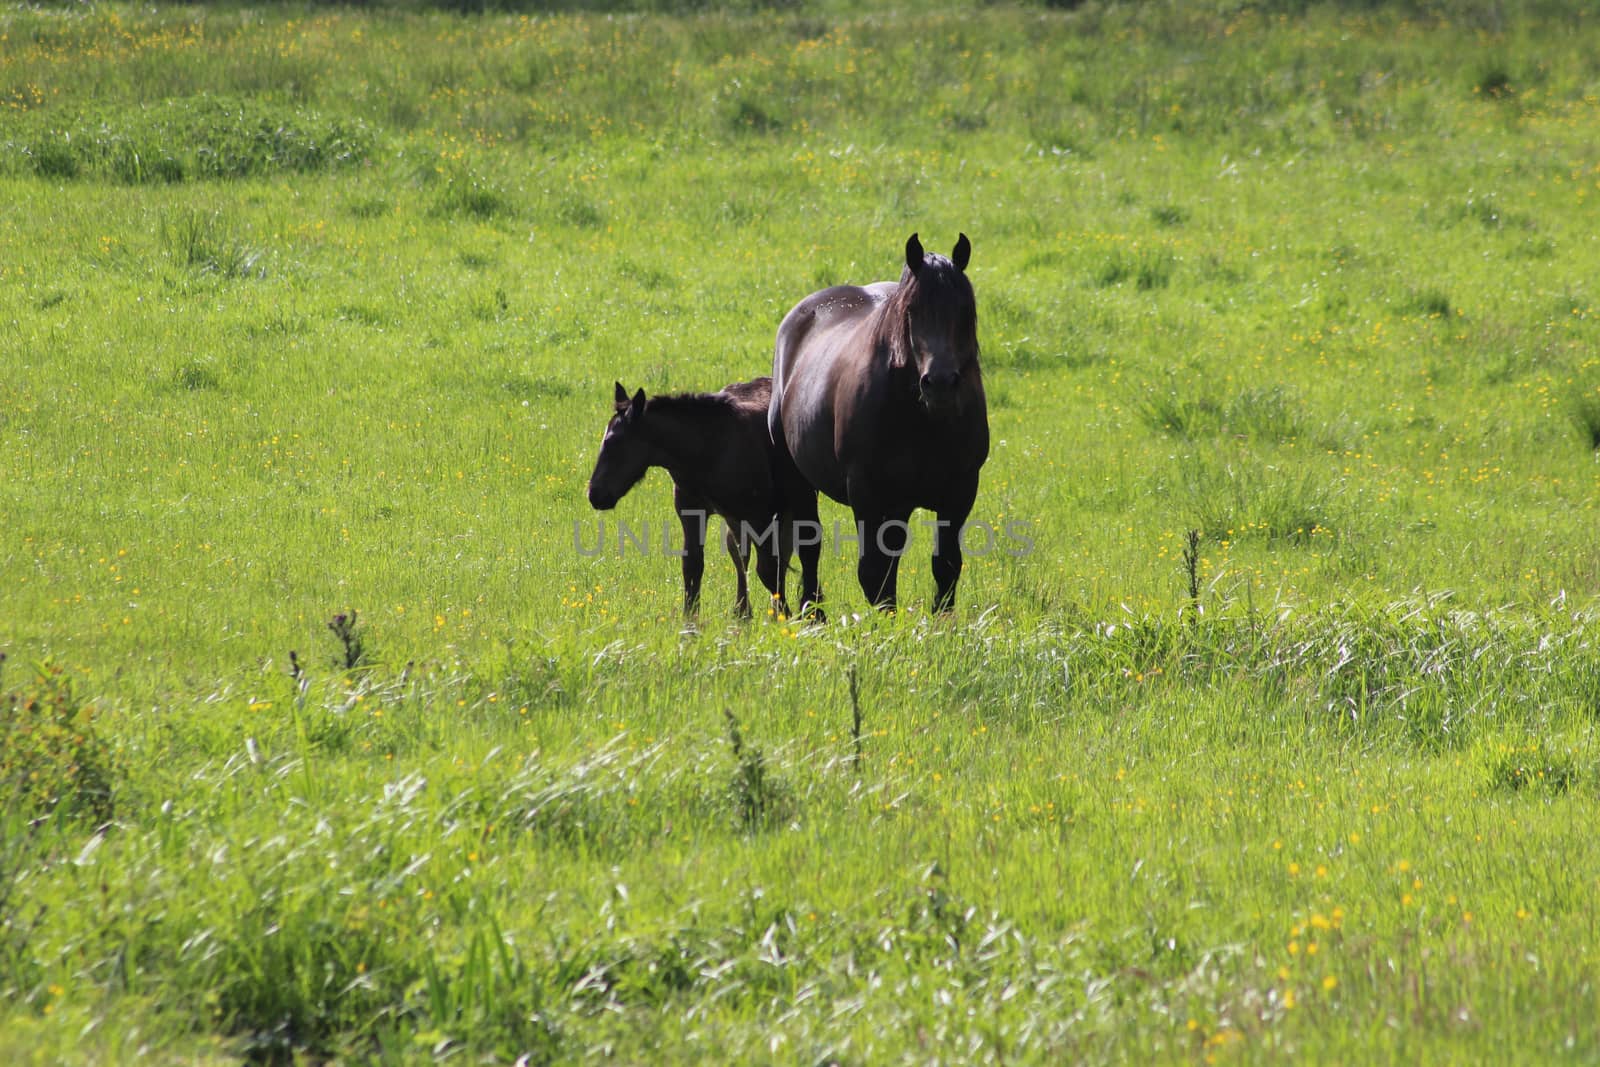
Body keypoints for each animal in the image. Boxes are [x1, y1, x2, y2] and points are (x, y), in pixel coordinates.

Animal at [582, 382, 793, 617]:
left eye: (613, 442)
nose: (595, 494)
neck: (705, 451)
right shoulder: (690, 509)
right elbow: (692, 565)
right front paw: (690, 620)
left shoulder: (760, 515)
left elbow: (769, 568)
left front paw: (787, 615)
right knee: (742, 554)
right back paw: (743, 613)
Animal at [764, 236, 979, 614]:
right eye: (911, 311)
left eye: (964, 311)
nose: (939, 383)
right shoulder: (867, 491)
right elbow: (874, 572)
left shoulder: (961, 490)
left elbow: (946, 564)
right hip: (796, 476)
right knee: (808, 545)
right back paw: (811, 612)